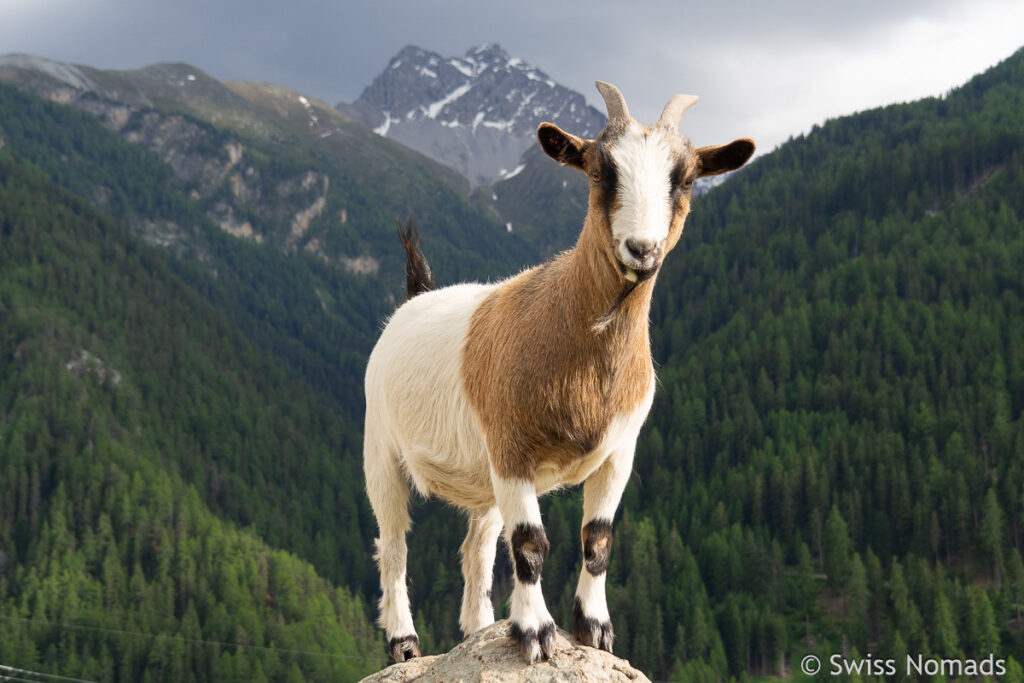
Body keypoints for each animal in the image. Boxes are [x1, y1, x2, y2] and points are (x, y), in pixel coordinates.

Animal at [364, 80, 757, 663]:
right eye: (598, 171)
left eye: (685, 179)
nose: (641, 249)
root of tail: (415, 298)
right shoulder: (512, 448)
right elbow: (530, 544)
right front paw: (535, 633)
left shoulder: (618, 451)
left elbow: (598, 539)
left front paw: (595, 628)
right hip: (382, 448)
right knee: (393, 544)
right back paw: (405, 642)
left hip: (482, 474)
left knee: (476, 546)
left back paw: (478, 628)